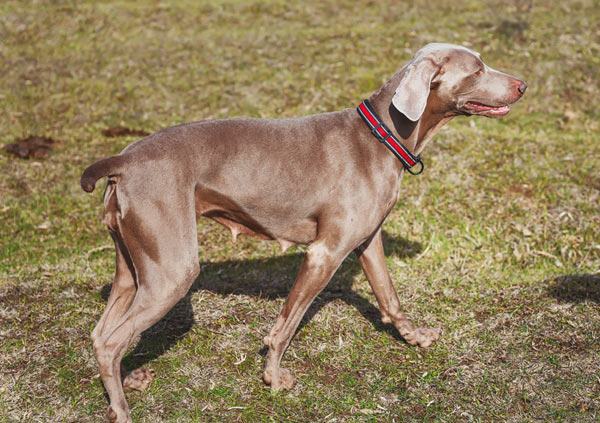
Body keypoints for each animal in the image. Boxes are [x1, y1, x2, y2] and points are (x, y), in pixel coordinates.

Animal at [81, 44, 524, 423]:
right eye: (478, 69)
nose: (524, 84)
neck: (382, 135)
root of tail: (122, 161)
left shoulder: (368, 242)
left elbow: (390, 297)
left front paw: (415, 337)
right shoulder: (324, 253)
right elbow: (285, 327)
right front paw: (274, 379)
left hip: (132, 265)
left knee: (102, 333)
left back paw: (128, 381)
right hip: (173, 269)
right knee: (112, 340)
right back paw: (120, 410)